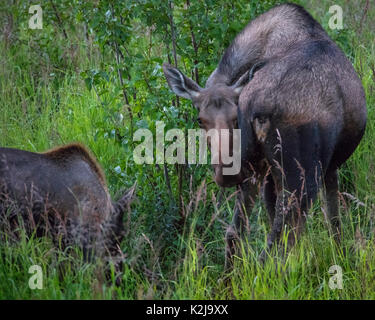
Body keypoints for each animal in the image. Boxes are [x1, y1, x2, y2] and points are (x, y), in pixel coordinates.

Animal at [164, 3, 368, 264]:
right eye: (200, 120)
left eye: (235, 117)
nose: (225, 172)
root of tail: (261, 108)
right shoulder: (330, 166)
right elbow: (334, 222)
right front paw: (341, 258)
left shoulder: (267, 174)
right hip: (301, 177)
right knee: (276, 244)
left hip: (253, 171)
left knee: (235, 233)